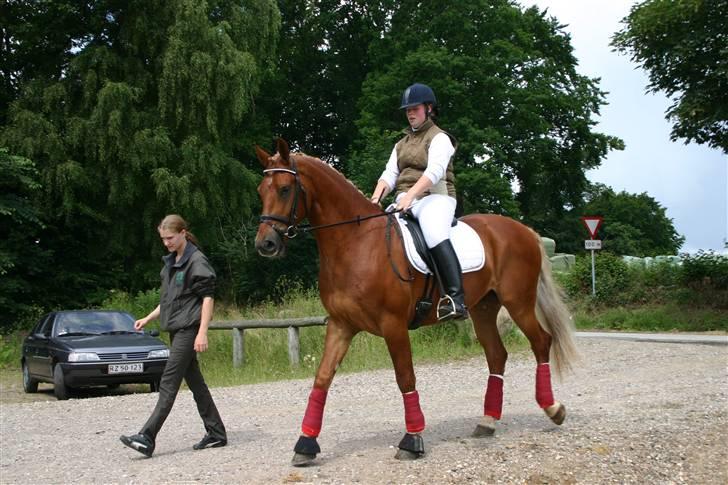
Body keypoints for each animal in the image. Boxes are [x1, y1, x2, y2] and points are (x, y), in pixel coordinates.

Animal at [253, 138, 576, 464]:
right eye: (261, 190)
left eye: (284, 189)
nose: (265, 244)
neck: (356, 243)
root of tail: (524, 230)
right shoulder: (341, 325)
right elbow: (321, 379)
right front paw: (305, 444)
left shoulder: (393, 325)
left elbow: (405, 378)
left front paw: (412, 440)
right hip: (484, 309)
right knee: (497, 355)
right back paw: (488, 422)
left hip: (518, 302)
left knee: (541, 342)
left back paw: (553, 409)